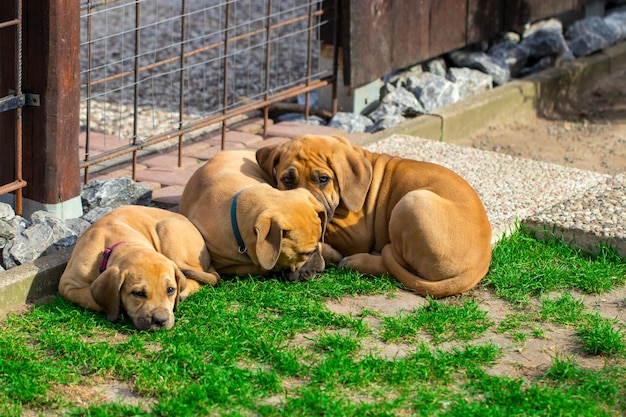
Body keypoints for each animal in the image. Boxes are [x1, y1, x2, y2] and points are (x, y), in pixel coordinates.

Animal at [58, 204, 219, 328]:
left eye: (170, 290)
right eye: (138, 293)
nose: (160, 321)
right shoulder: (68, 286)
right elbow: (90, 298)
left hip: (169, 234)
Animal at [256, 133, 490, 296]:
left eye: (323, 179)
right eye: (287, 180)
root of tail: (480, 263)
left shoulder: (355, 236)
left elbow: (324, 230)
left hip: (410, 203)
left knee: (394, 265)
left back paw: (354, 261)